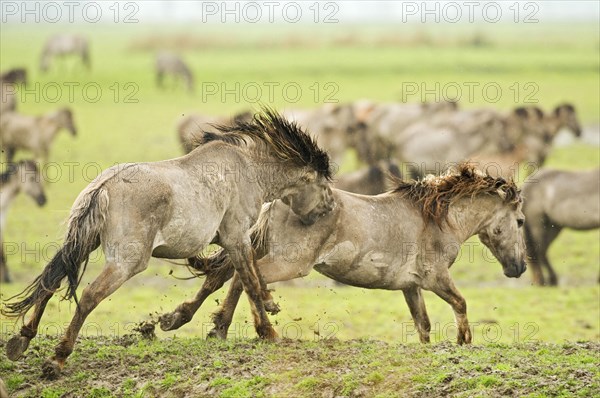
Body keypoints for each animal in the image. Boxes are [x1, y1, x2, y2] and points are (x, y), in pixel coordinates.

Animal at [2, 109, 336, 380]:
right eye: (322, 184)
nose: (330, 207)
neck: (248, 170)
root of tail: (103, 187)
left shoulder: (234, 240)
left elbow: (235, 275)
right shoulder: (236, 236)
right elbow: (248, 280)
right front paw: (269, 331)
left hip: (82, 243)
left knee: (50, 281)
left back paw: (22, 340)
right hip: (127, 262)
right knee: (88, 296)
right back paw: (56, 360)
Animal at [162, 162, 528, 346]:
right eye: (521, 221)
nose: (519, 268)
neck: (437, 218)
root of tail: (275, 201)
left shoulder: (411, 286)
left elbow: (422, 325)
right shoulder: (435, 277)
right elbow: (460, 303)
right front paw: (464, 340)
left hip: (258, 249)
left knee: (225, 276)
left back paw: (190, 322)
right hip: (290, 263)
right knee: (246, 280)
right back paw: (261, 330)